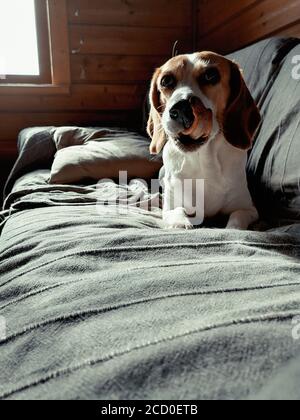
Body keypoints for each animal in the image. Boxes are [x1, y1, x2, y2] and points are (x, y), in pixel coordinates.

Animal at [149, 53, 262, 231]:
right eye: (166, 81)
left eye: (211, 75)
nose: (181, 109)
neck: (203, 159)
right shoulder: (171, 207)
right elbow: (177, 211)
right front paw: (181, 223)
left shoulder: (248, 209)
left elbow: (236, 219)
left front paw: (232, 229)